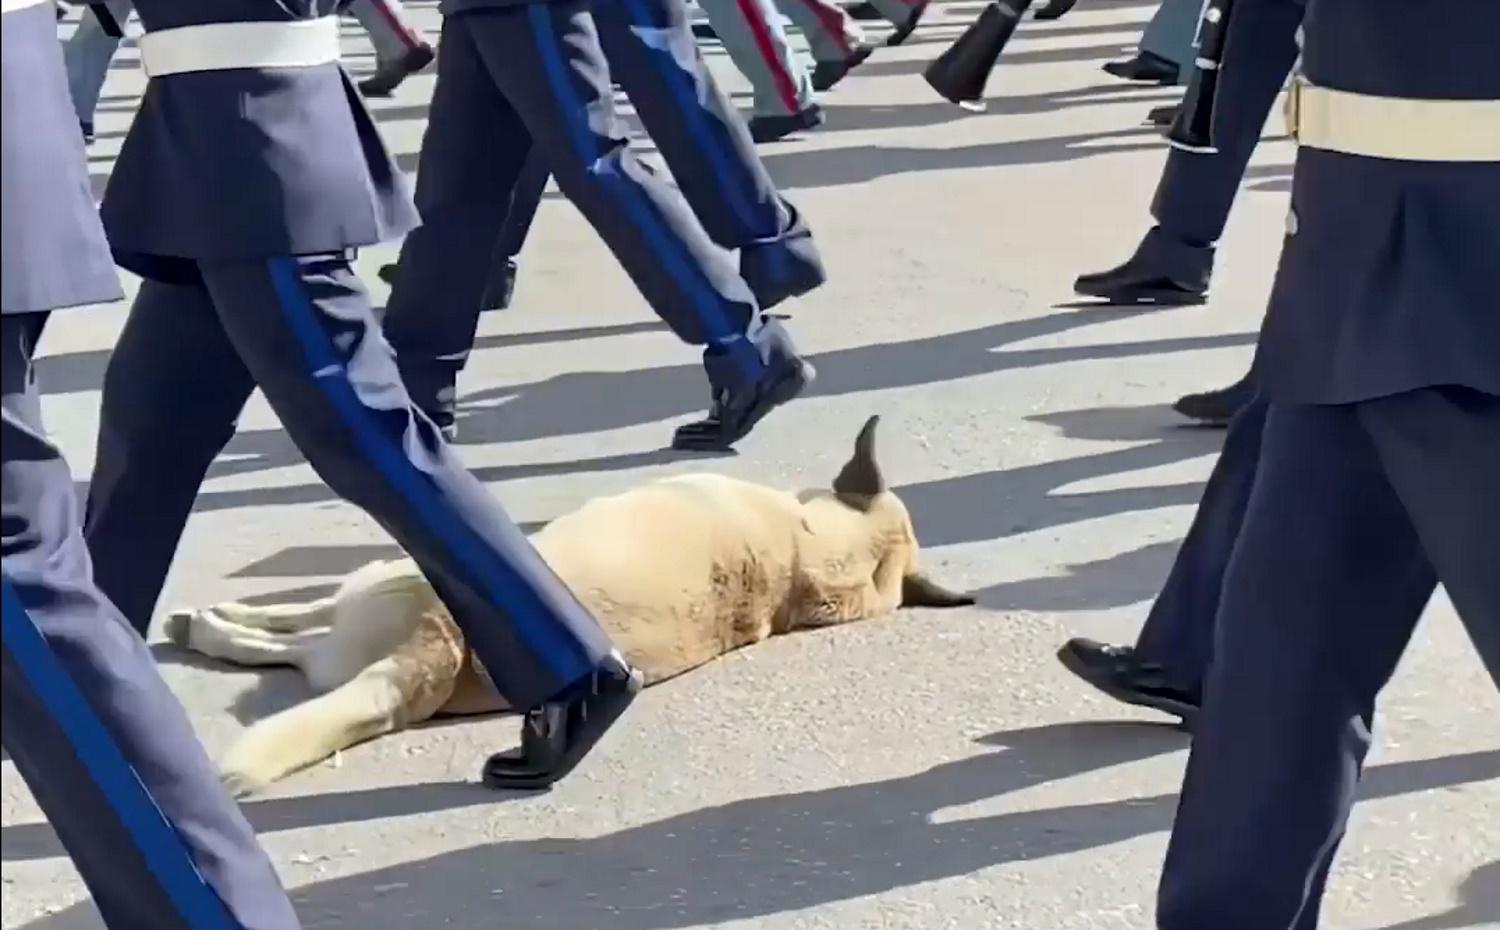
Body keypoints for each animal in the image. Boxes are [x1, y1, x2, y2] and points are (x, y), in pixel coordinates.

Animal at [167, 417, 972, 798]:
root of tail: (436, 652)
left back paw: (202, 623)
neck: (804, 560)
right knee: (298, 648)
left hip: (385, 575)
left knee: (288, 631)